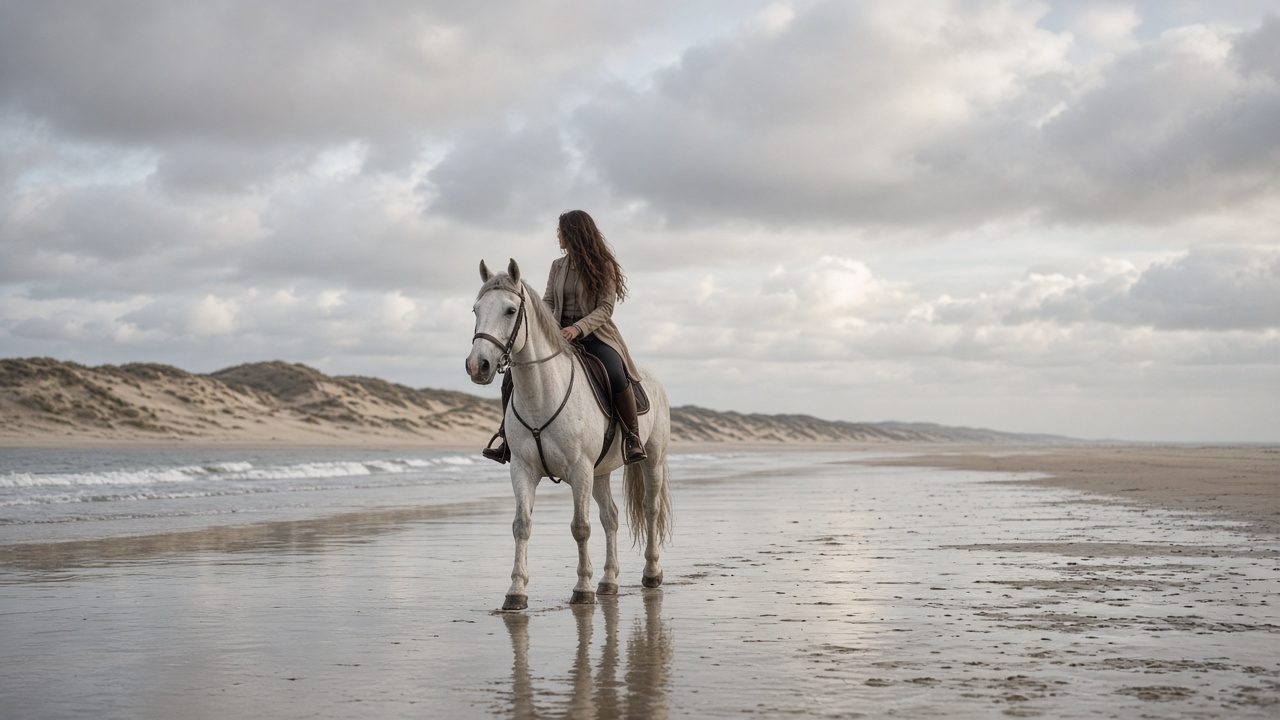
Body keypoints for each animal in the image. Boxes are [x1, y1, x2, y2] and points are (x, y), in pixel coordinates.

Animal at [466, 259, 672, 611]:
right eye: (476, 310)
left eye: (510, 310)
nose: (477, 365)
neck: (541, 394)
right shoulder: (522, 469)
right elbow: (521, 526)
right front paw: (516, 591)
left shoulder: (579, 470)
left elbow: (580, 528)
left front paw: (582, 588)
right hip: (600, 472)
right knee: (611, 517)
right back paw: (609, 581)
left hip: (650, 460)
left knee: (649, 509)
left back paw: (651, 573)